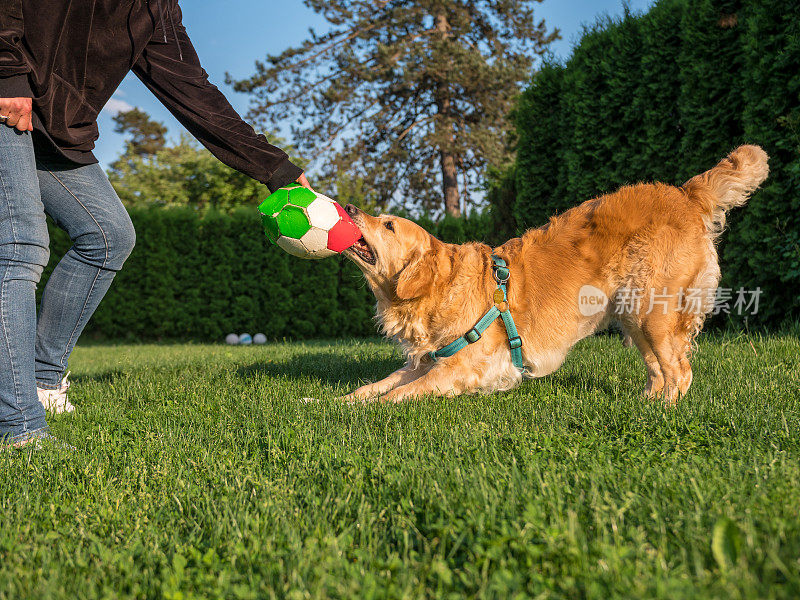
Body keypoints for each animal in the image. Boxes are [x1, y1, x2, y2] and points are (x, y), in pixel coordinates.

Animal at [342, 145, 768, 404]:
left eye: (389, 225)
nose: (349, 206)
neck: (438, 290)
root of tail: (684, 193)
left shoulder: (461, 365)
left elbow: (405, 392)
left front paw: (377, 407)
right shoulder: (424, 359)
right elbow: (383, 381)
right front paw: (344, 400)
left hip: (654, 311)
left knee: (680, 371)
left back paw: (664, 408)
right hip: (633, 315)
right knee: (659, 367)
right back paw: (646, 400)